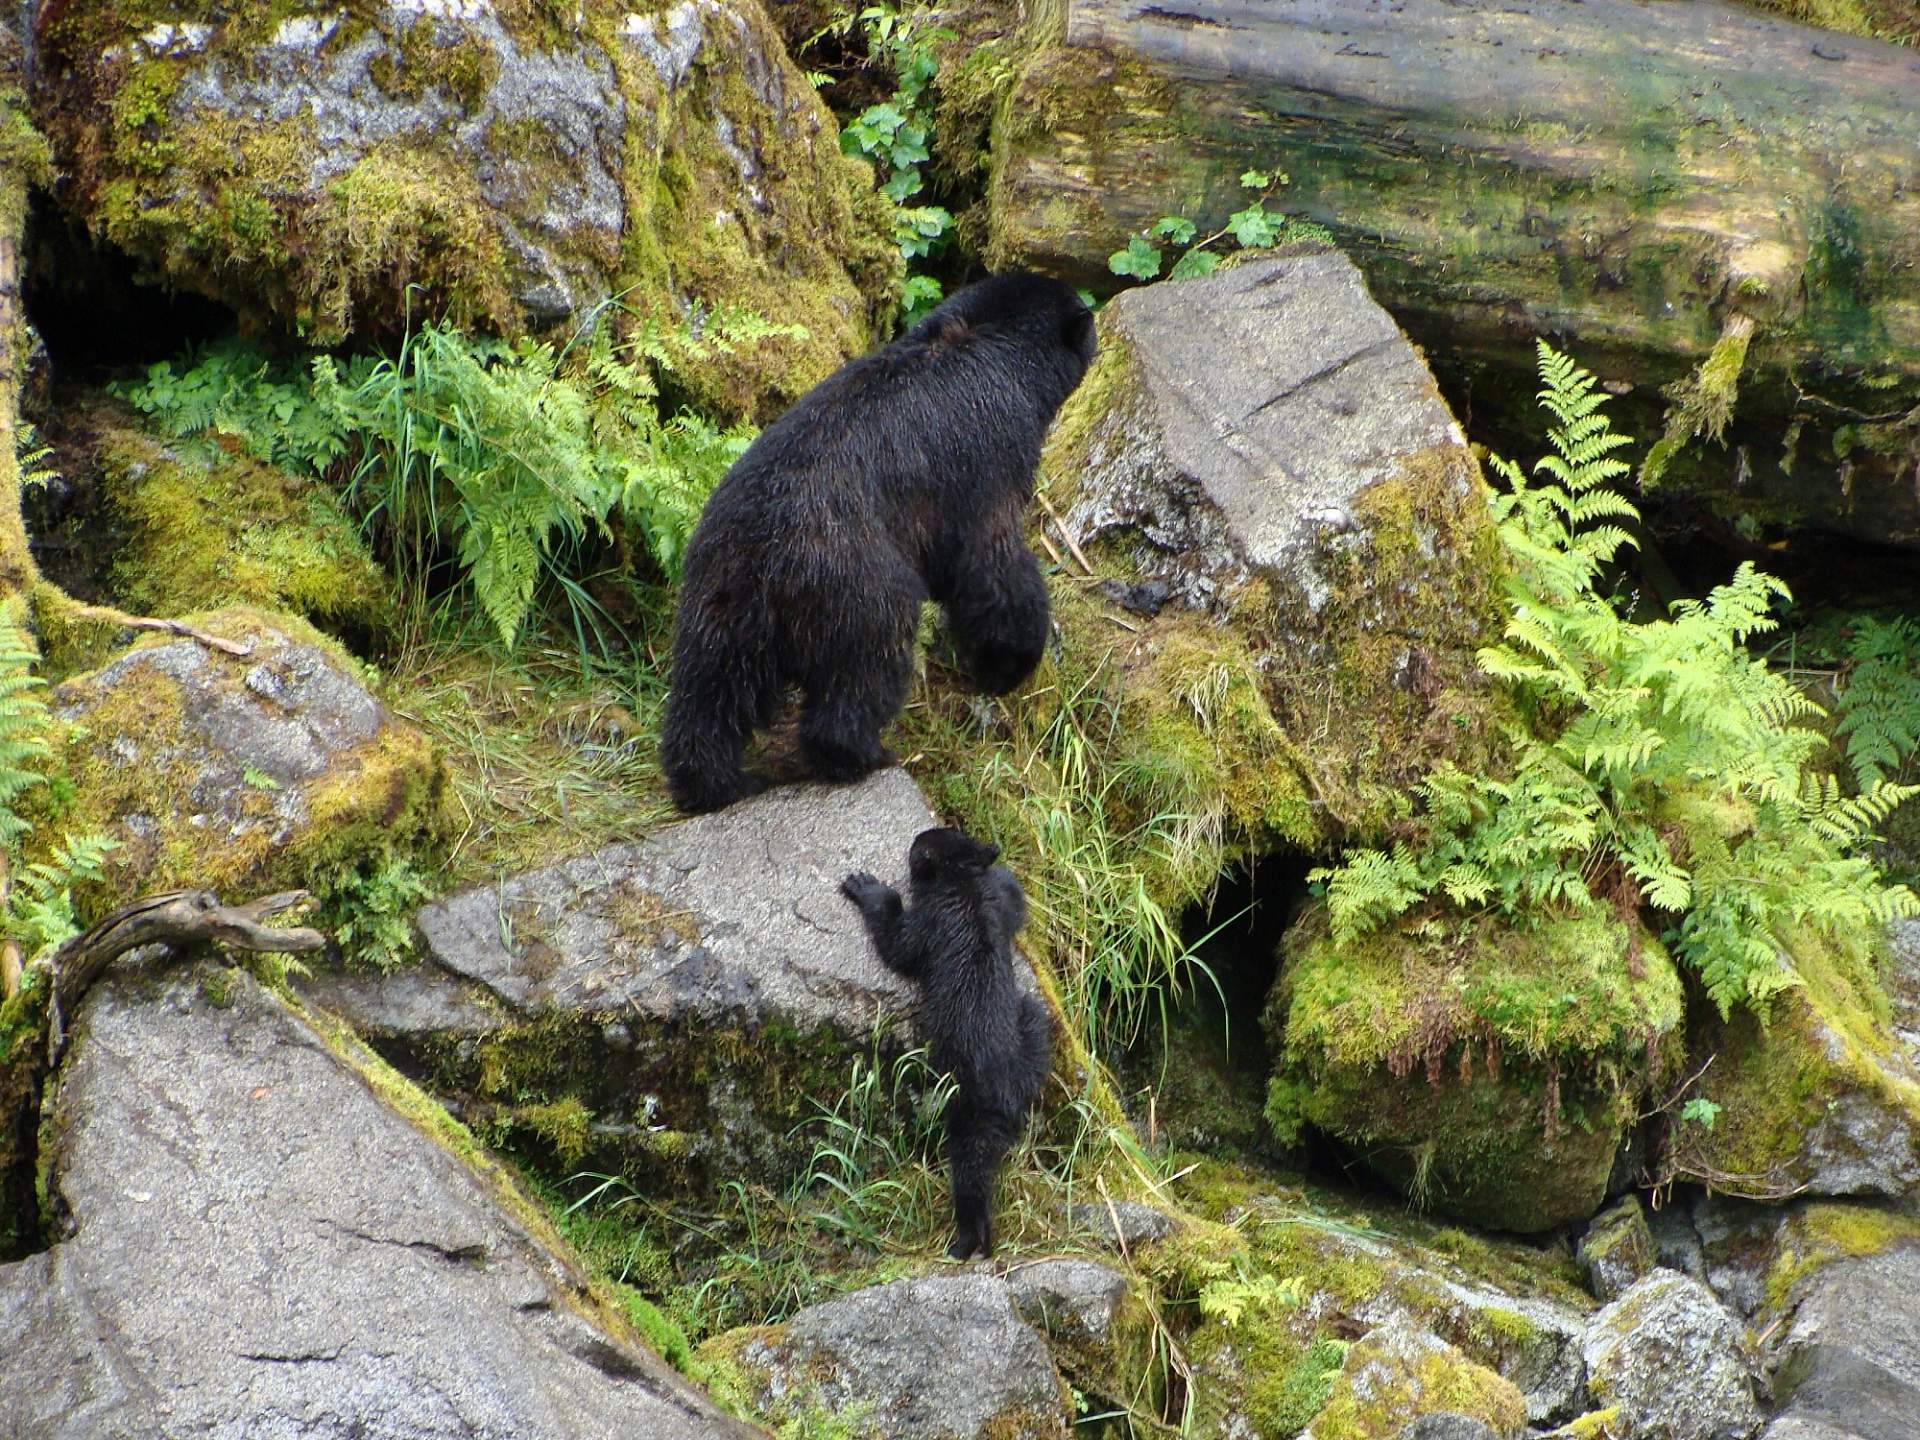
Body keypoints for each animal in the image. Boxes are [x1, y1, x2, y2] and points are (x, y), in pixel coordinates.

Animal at [660, 270, 1098, 814]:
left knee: (710, 690)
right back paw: (861, 754)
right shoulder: (988, 455)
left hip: (716, 596)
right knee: (865, 669)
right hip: (856, 583)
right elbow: (991, 563)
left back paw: (710, 782)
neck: (988, 342)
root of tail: (762, 556)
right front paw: (1008, 664)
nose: (1095, 334)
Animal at [840, 829, 1052, 1259]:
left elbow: (899, 944)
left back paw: (965, 1243)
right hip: (1029, 1036)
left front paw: (865, 885)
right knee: (1034, 1016)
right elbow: (1012, 899)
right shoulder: (996, 902)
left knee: (971, 1174)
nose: (912, 843)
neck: (961, 882)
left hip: (973, 1111)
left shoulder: (931, 922)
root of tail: (1013, 1087)